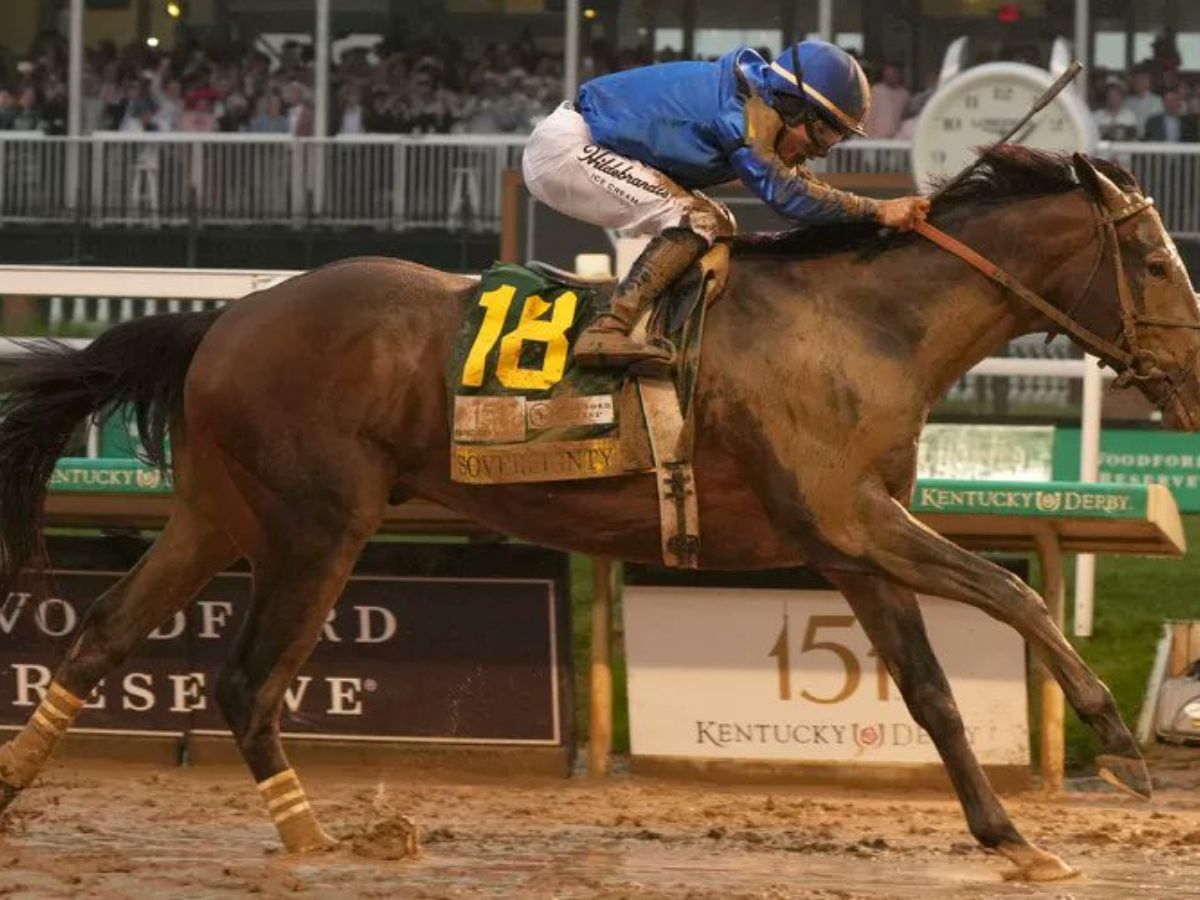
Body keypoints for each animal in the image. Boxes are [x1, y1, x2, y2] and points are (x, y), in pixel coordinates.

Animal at [0, 147, 1196, 881]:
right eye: (1151, 258)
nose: (1186, 380)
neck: (863, 325)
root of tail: (227, 318)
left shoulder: (853, 546)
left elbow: (936, 695)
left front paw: (1011, 837)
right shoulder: (852, 522)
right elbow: (1014, 596)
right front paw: (1117, 746)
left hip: (216, 514)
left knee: (105, 633)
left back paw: (18, 781)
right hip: (314, 526)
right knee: (246, 680)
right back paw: (316, 835)